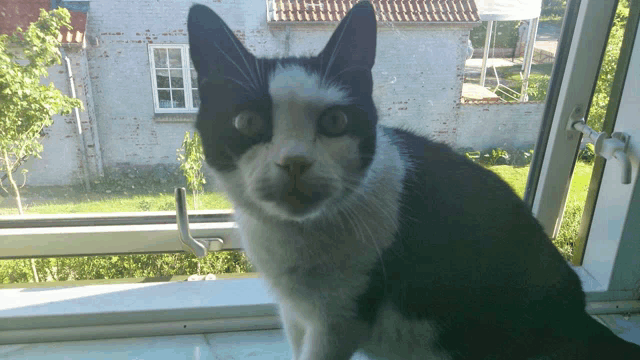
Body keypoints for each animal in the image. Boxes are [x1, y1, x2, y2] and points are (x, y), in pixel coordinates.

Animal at [189, 1, 640, 358]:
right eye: (248, 122)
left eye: (335, 122)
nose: (295, 161)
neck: (297, 235)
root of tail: (578, 317)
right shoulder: (296, 313)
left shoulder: (339, 320)